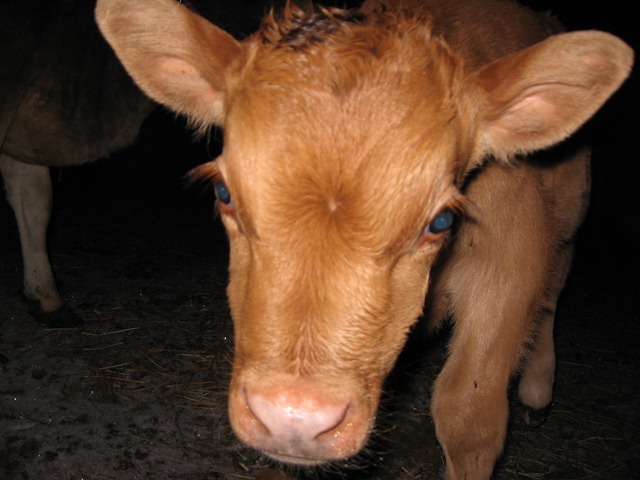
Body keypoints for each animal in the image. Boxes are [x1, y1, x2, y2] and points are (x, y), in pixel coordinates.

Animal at [95, 0, 633, 478]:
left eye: (440, 221)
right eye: (224, 192)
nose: (293, 417)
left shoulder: (508, 266)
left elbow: (467, 415)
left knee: (554, 289)